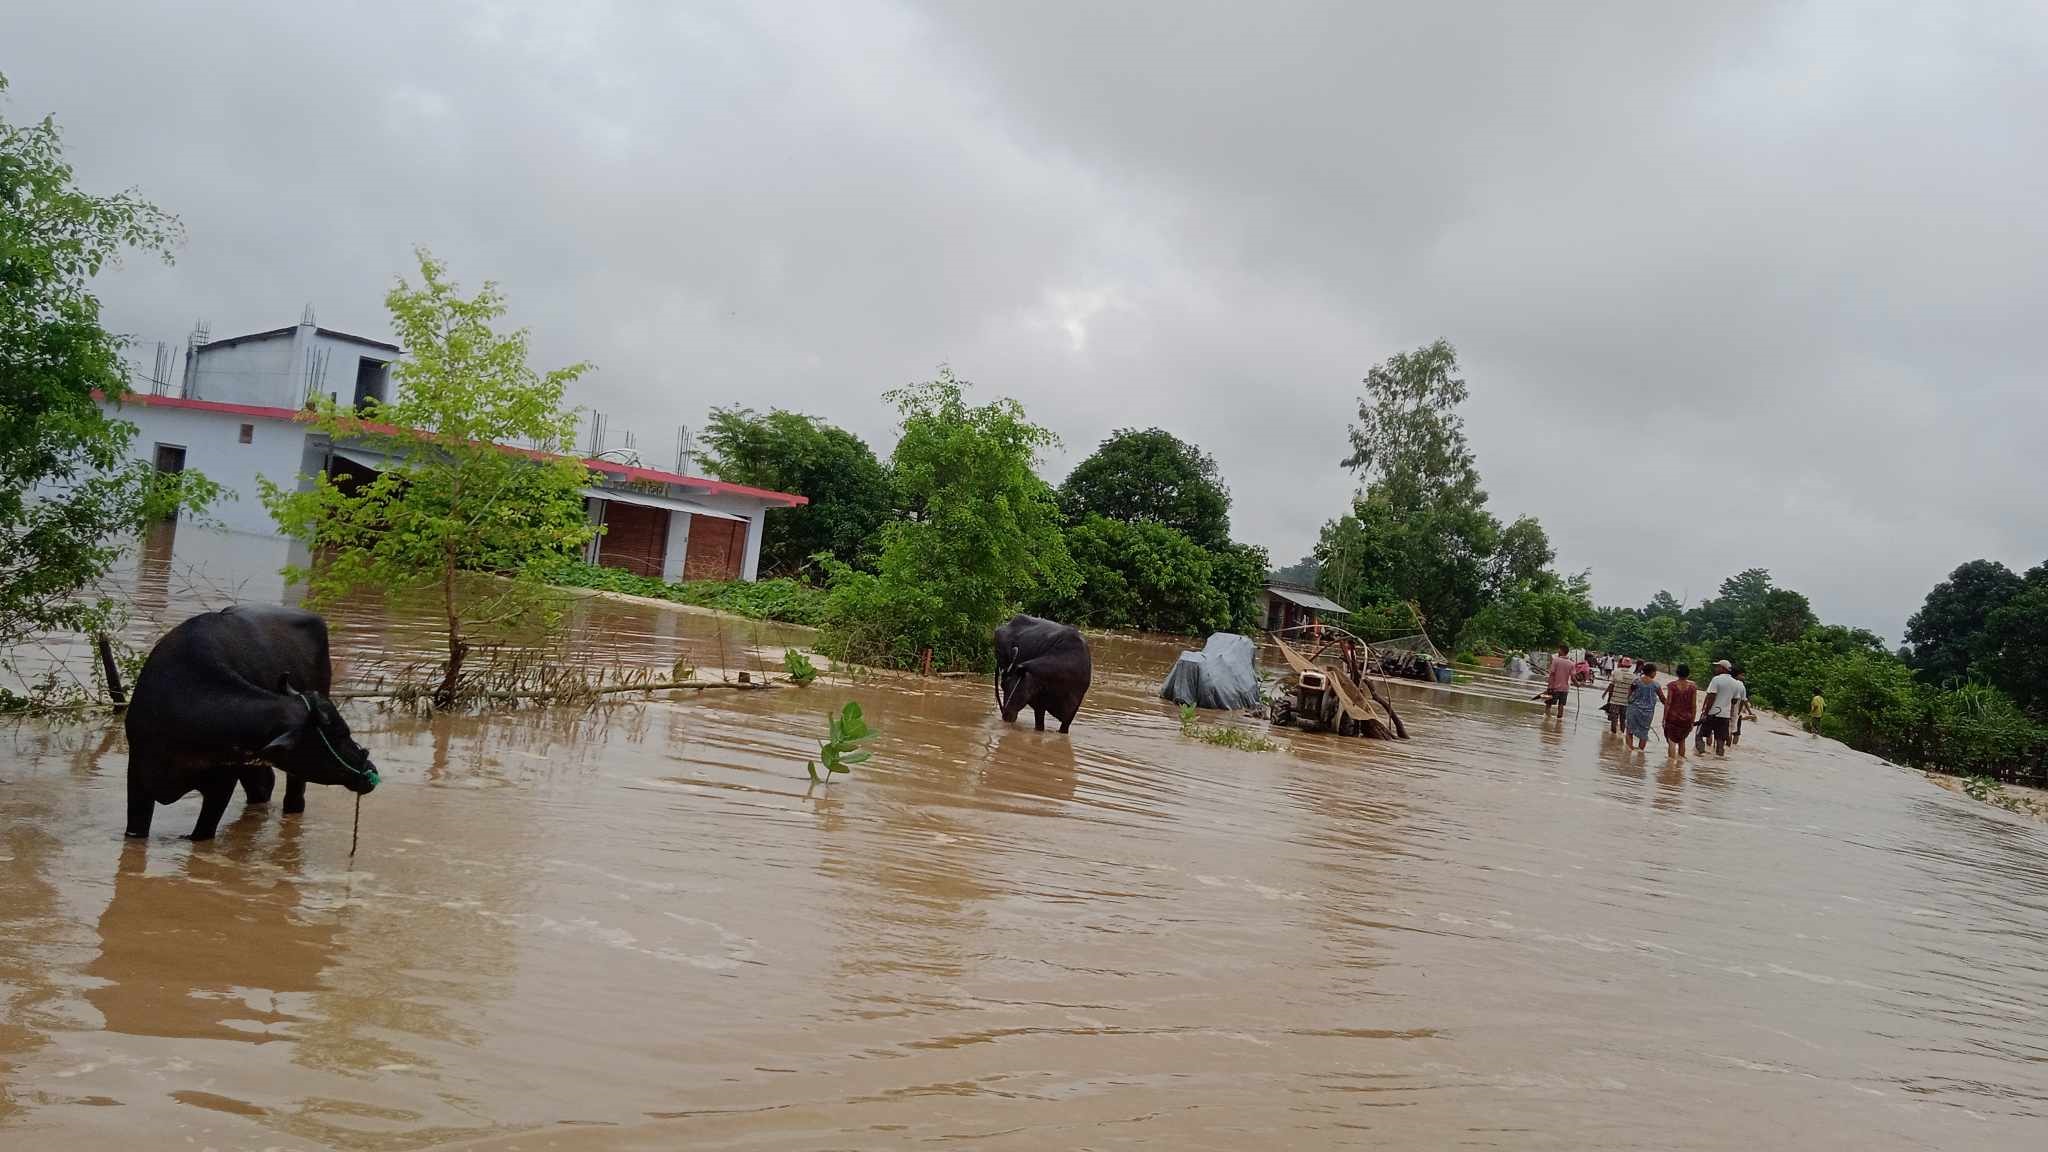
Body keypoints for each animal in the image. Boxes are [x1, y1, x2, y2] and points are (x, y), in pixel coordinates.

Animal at [126, 606, 380, 840]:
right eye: (340, 734)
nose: (370, 769)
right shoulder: (139, 776)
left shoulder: (222, 783)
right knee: (263, 787)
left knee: (293, 797)